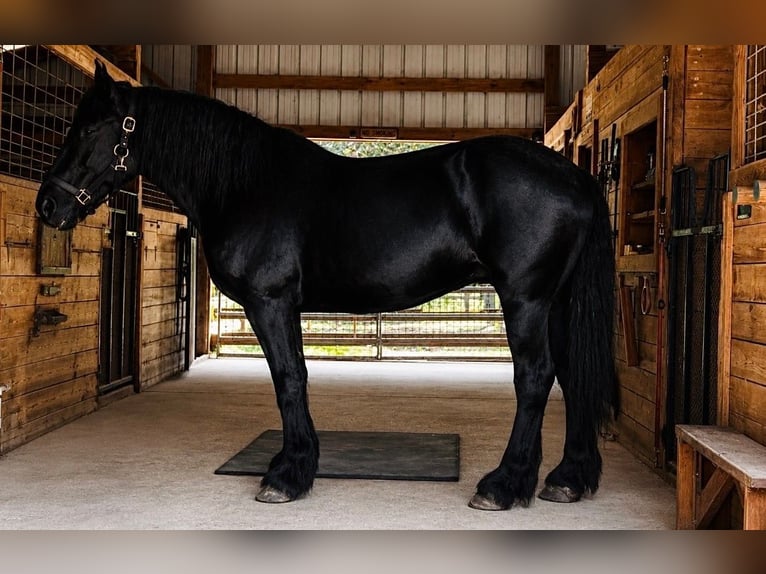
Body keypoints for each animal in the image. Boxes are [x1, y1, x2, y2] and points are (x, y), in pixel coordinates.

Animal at [36, 60, 618, 511]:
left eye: (91, 129)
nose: (48, 204)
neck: (246, 183)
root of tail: (573, 176)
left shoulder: (269, 302)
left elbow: (288, 379)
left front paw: (286, 476)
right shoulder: (283, 306)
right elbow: (296, 376)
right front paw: (296, 463)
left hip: (526, 300)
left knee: (536, 377)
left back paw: (502, 485)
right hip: (556, 302)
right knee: (573, 374)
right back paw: (566, 479)